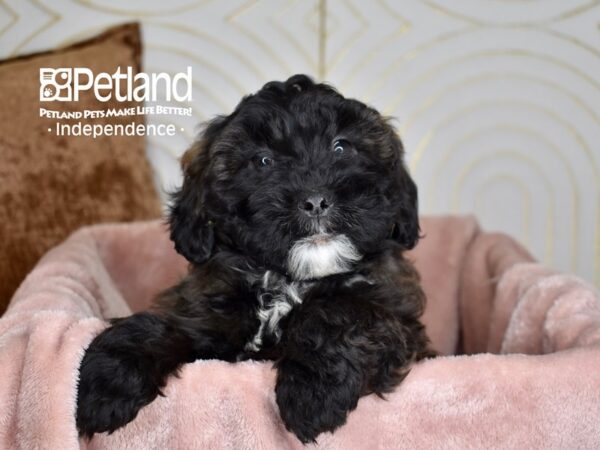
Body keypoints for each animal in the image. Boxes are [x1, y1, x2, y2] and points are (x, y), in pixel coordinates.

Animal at [76, 74, 432, 442]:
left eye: (341, 147)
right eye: (263, 161)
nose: (316, 200)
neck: (288, 280)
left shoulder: (400, 321)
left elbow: (340, 312)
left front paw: (312, 395)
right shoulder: (202, 313)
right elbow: (163, 325)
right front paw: (107, 383)